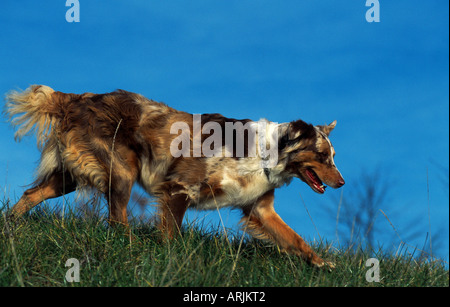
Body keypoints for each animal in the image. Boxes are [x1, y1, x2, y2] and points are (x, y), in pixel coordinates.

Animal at [4, 85, 344, 268]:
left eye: (333, 156)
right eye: (322, 156)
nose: (341, 183)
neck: (264, 153)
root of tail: (76, 97)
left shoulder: (260, 209)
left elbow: (296, 239)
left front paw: (321, 263)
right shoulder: (180, 187)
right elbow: (172, 234)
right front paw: (171, 258)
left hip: (71, 175)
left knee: (31, 194)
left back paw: (9, 223)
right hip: (121, 170)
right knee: (116, 218)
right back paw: (132, 246)